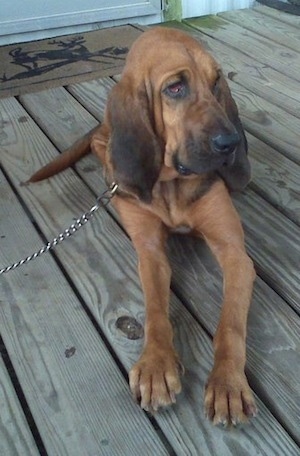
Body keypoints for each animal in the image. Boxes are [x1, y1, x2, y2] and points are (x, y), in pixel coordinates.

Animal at [28, 26, 258, 426]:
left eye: (216, 83)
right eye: (175, 88)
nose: (230, 143)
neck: (171, 184)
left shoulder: (234, 254)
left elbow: (230, 323)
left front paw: (228, 382)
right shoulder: (150, 251)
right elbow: (154, 311)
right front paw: (155, 366)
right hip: (108, 148)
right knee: (102, 147)